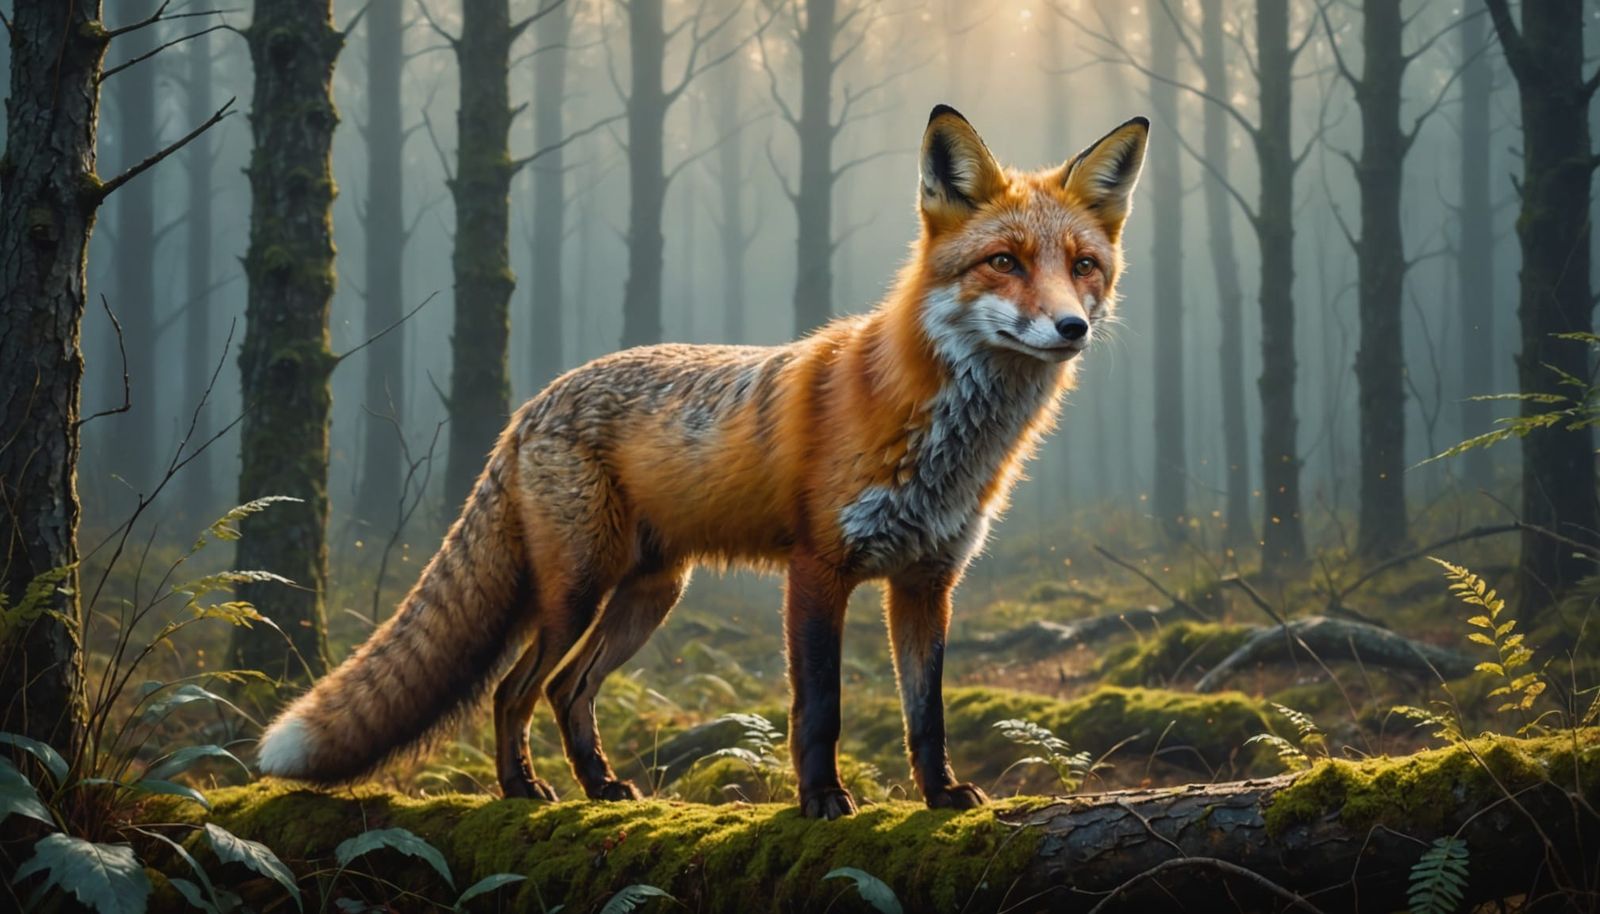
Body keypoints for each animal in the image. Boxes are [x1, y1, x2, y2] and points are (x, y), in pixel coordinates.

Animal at [256, 105, 1148, 819]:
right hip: (576, 591)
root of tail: (530, 407)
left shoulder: (927, 581)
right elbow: (818, 707)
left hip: (649, 595)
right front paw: (821, 800)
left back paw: (599, 787)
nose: (1071, 327)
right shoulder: (818, 568)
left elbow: (924, 714)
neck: (941, 437)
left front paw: (939, 797)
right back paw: (522, 789)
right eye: (1004, 262)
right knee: (515, 689)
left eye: (1082, 266)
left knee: (566, 689)